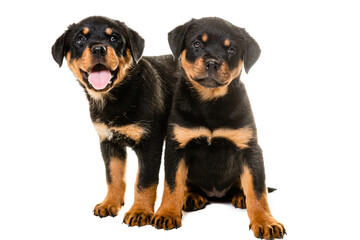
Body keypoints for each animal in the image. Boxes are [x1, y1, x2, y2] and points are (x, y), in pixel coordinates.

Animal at [51, 16, 179, 227]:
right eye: (80, 39)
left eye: (114, 39)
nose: (98, 49)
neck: (117, 97)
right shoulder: (108, 142)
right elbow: (114, 176)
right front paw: (110, 203)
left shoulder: (150, 143)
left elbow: (144, 181)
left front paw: (140, 211)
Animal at [152, 17, 286, 239]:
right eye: (197, 44)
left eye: (231, 49)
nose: (212, 62)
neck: (210, 102)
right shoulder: (176, 147)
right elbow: (172, 184)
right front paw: (167, 213)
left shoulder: (250, 149)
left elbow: (258, 190)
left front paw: (266, 222)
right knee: (186, 184)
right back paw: (191, 196)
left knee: (244, 185)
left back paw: (241, 196)